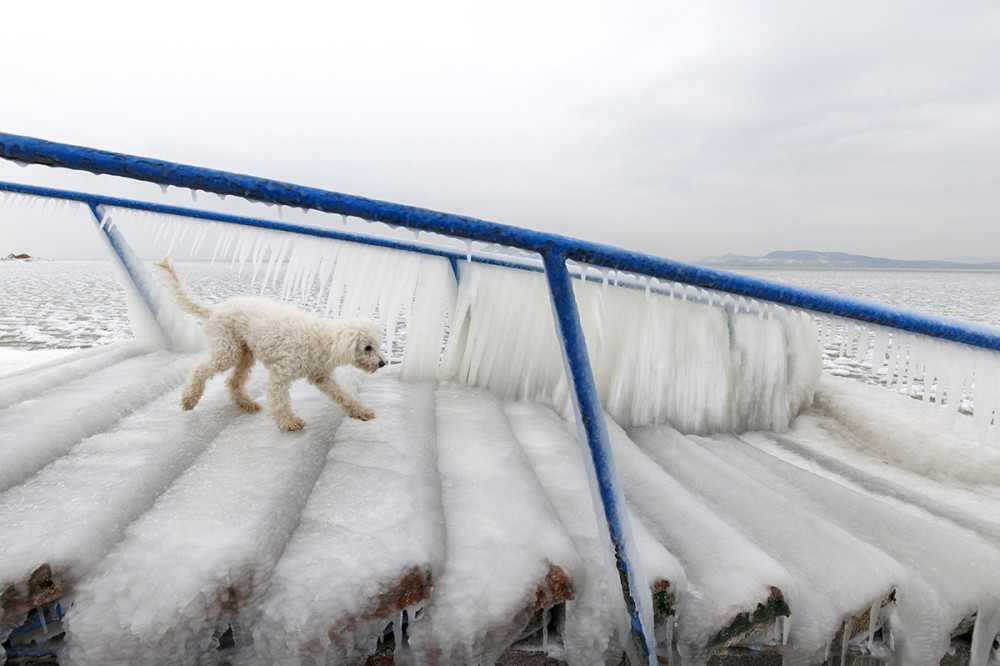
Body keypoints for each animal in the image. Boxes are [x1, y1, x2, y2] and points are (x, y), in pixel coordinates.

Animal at [153, 254, 386, 430]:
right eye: (367, 347)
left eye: (377, 345)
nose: (383, 363)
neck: (323, 341)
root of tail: (215, 309)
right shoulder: (281, 372)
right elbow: (280, 399)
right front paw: (289, 422)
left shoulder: (321, 376)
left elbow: (343, 394)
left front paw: (362, 411)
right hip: (228, 349)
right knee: (200, 369)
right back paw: (189, 399)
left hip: (245, 353)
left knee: (233, 381)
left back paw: (246, 403)